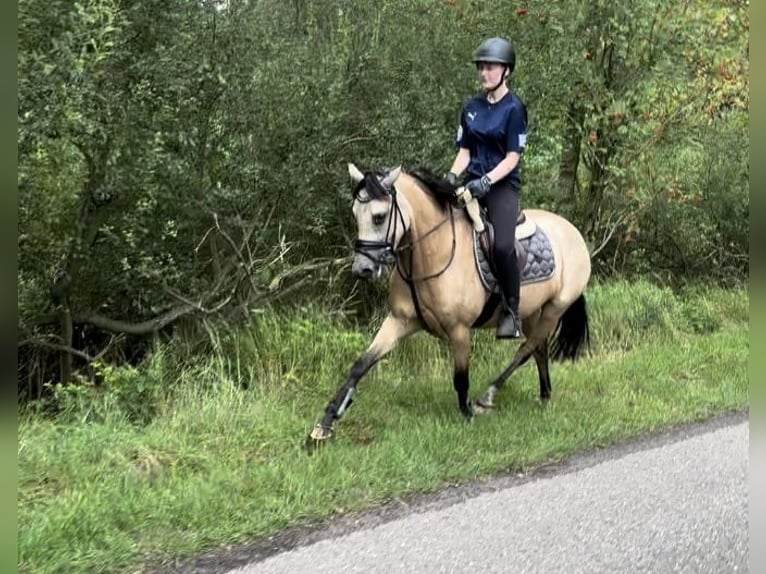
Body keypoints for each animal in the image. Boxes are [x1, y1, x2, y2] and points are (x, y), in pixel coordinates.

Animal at [306, 164, 592, 448]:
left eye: (379, 217)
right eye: (356, 215)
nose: (362, 269)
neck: (432, 253)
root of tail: (572, 231)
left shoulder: (459, 329)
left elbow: (461, 377)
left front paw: (467, 414)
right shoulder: (399, 321)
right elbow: (361, 364)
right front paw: (325, 423)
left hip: (555, 308)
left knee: (526, 349)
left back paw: (487, 397)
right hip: (532, 310)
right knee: (539, 349)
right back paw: (544, 396)